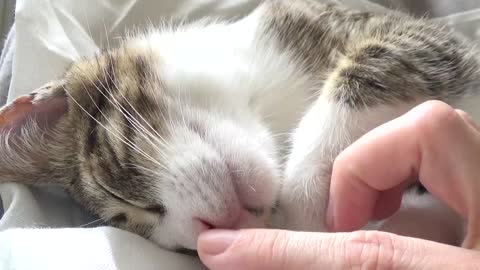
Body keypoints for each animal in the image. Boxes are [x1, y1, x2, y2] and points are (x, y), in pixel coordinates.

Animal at [0, 0, 480, 253]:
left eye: (119, 194)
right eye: (181, 250)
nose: (206, 229)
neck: (265, 102)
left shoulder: (412, 35)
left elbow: (375, 61)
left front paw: (305, 203)